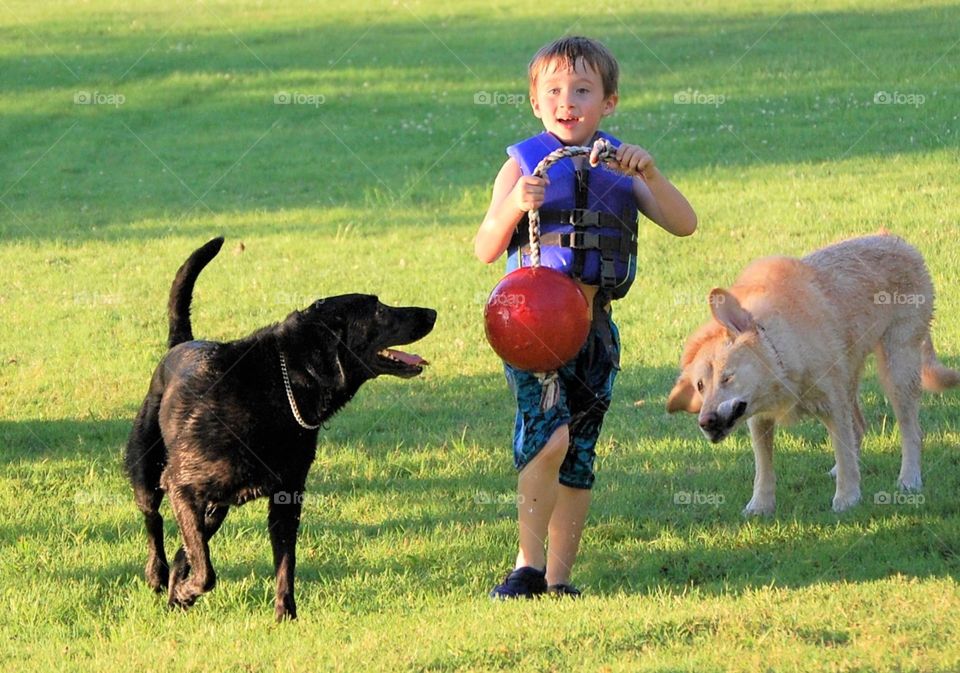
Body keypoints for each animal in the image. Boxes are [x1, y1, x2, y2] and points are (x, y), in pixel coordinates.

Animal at [124, 238, 436, 620]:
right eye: (378, 309)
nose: (432, 313)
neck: (280, 385)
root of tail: (180, 345)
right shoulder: (181, 486)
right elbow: (206, 571)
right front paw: (186, 589)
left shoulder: (287, 498)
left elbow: (285, 563)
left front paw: (285, 615)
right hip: (149, 471)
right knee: (154, 521)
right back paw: (159, 576)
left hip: (216, 508)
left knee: (187, 547)